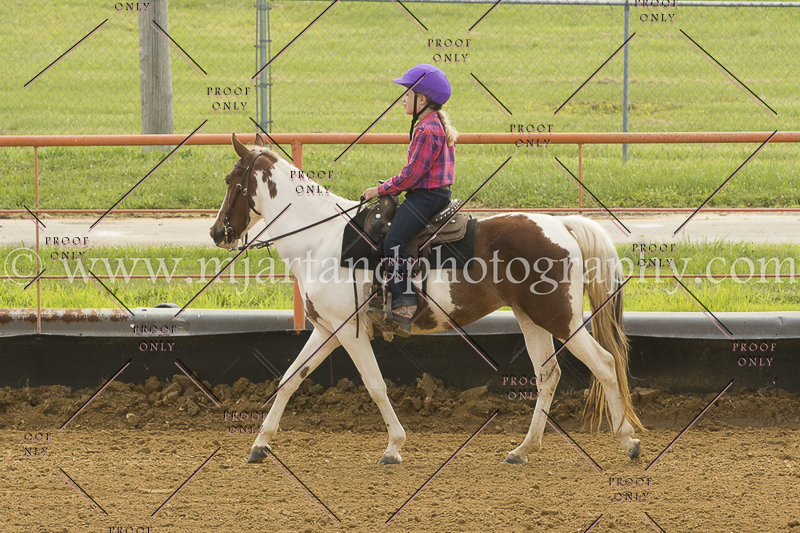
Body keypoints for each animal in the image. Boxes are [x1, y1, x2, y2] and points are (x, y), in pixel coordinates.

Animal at [209, 133, 644, 465]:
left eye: (232, 181)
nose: (216, 232)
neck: (321, 239)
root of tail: (563, 225)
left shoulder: (349, 332)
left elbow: (375, 385)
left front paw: (393, 448)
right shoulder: (326, 330)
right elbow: (290, 379)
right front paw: (259, 445)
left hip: (560, 318)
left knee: (604, 364)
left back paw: (628, 441)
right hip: (530, 318)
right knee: (547, 375)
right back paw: (523, 449)